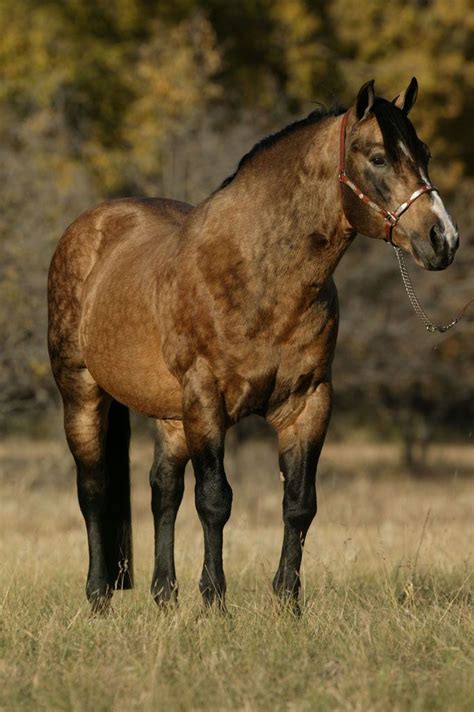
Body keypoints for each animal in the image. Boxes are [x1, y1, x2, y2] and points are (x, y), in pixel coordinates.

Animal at [48, 78, 460, 612]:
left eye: (424, 152)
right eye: (378, 158)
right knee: (95, 487)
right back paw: (99, 597)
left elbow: (300, 503)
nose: (443, 238)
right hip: (82, 393)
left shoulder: (309, 401)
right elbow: (215, 500)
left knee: (162, 490)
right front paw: (214, 601)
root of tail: (90, 226)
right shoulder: (206, 400)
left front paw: (287, 602)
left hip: (170, 415)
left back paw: (165, 596)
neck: (256, 274)